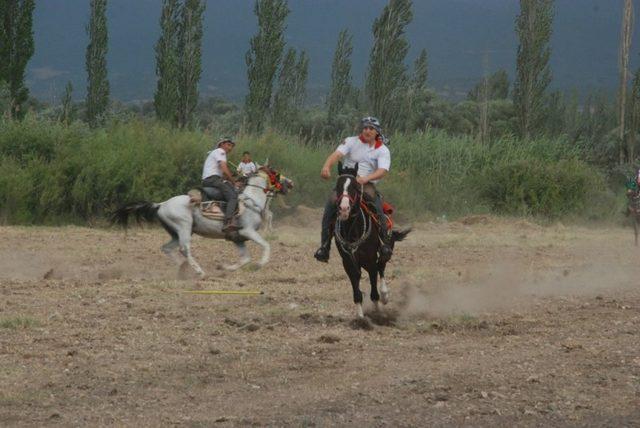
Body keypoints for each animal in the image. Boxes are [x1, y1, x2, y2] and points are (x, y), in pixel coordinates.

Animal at [112, 169, 290, 276]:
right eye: (276, 174)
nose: (290, 184)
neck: (251, 201)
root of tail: (161, 204)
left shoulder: (238, 238)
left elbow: (245, 258)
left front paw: (225, 268)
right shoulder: (248, 231)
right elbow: (266, 245)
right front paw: (260, 264)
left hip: (176, 232)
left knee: (167, 248)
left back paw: (184, 268)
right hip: (183, 227)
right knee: (184, 249)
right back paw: (199, 271)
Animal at [330, 166, 410, 320]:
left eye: (354, 187)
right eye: (337, 186)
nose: (344, 209)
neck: (353, 229)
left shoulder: (370, 258)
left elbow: (374, 287)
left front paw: (377, 312)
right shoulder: (348, 262)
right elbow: (356, 287)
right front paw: (361, 317)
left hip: (385, 250)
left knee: (381, 266)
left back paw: (385, 295)